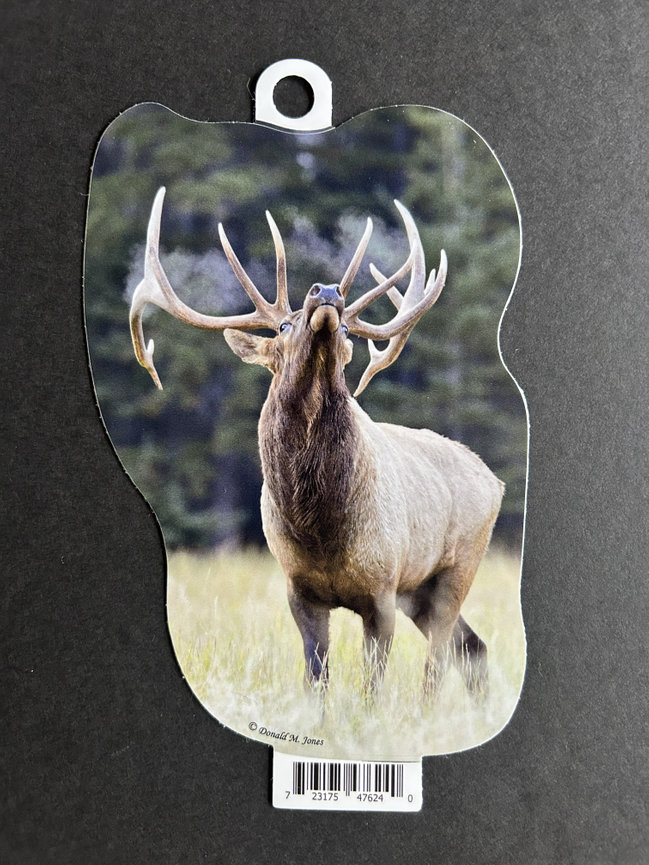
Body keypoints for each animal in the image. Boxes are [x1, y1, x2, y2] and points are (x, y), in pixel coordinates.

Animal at [130, 187, 504, 699]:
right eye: (282, 327)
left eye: (347, 329)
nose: (327, 292)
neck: (320, 528)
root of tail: (495, 481)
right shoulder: (299, 588)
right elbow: (316, 678)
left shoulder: (382, 588)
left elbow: (372, 687)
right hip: (420, 591)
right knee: (473, 648)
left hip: (458, 566)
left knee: (439, 661)